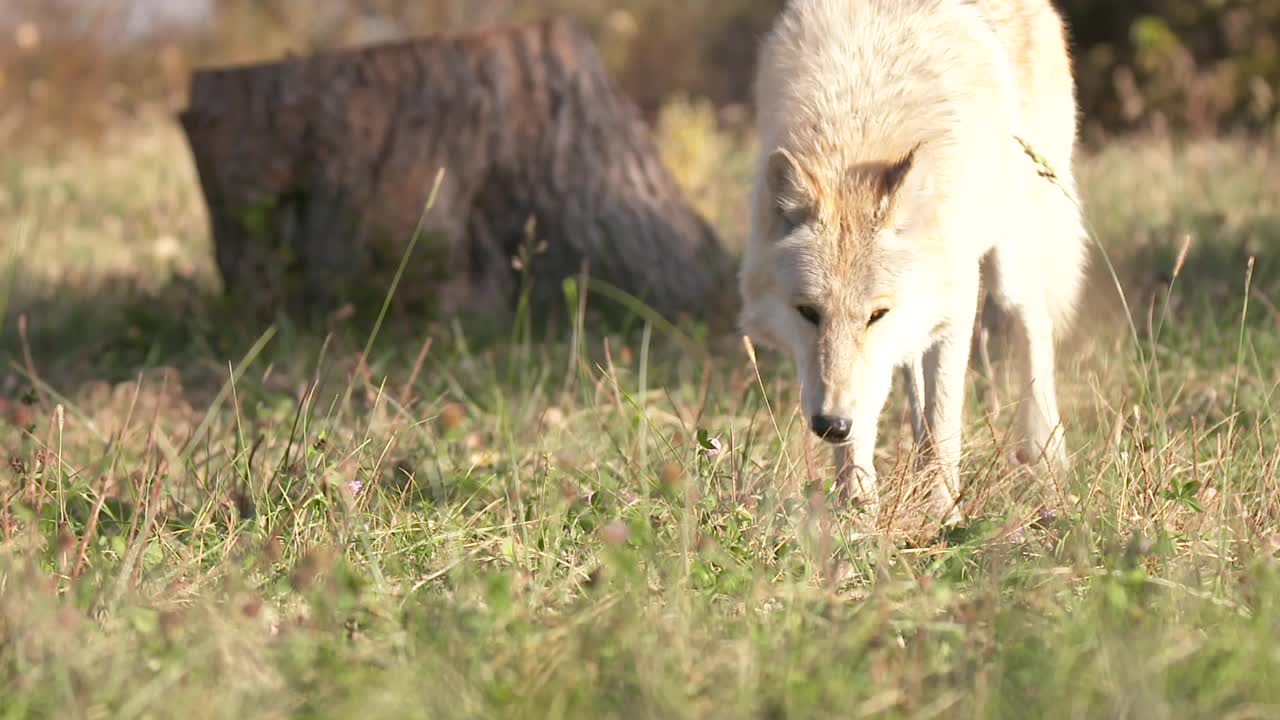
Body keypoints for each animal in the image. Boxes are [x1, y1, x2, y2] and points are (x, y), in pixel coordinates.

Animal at [742, 0, 1090, 517]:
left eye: (876, 314)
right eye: (808, 312)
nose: (830, 426)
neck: (859, 126)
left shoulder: (957, 303)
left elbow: (945, 420)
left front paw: (944, 516)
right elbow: (874, 414)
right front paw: (856, 509)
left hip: (1009, 265)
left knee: (1035, 329)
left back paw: (1047, 457)